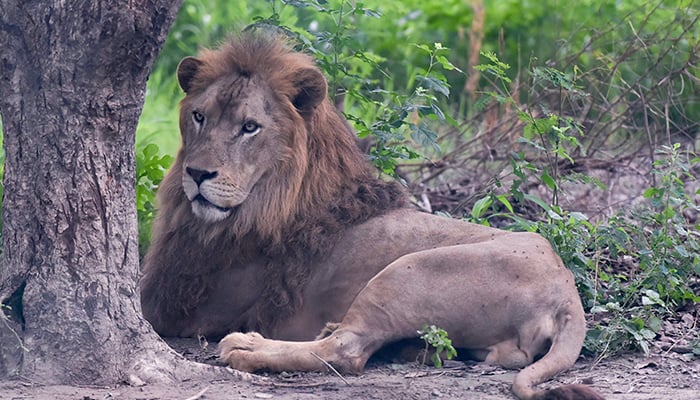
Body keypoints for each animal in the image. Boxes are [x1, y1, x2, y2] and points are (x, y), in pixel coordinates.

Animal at [139, 32, 604, 400]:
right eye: (199, 117)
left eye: (250, 127)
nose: (198, 174)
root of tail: (567, 292)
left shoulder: (183, 306)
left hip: (405, 274)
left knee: (346, 351)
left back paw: (247, 347)